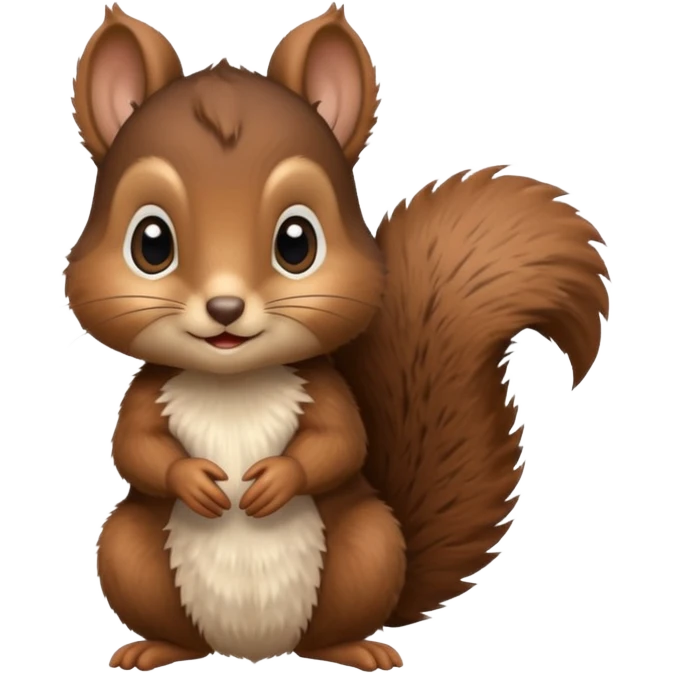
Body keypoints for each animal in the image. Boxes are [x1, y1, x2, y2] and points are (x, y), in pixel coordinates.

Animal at [66, 3, 611, 672]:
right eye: (151, 244)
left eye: (297, 242)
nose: (225, 308)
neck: (233, 382)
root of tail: (252, 649)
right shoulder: (147, 395)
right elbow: (134, 448)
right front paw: (194, 480)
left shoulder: (324, 391)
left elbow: (341, 444)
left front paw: (274, 481)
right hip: (127, 553)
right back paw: (154, 646)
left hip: (368, 549)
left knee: (333, 625)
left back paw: (356, 648)